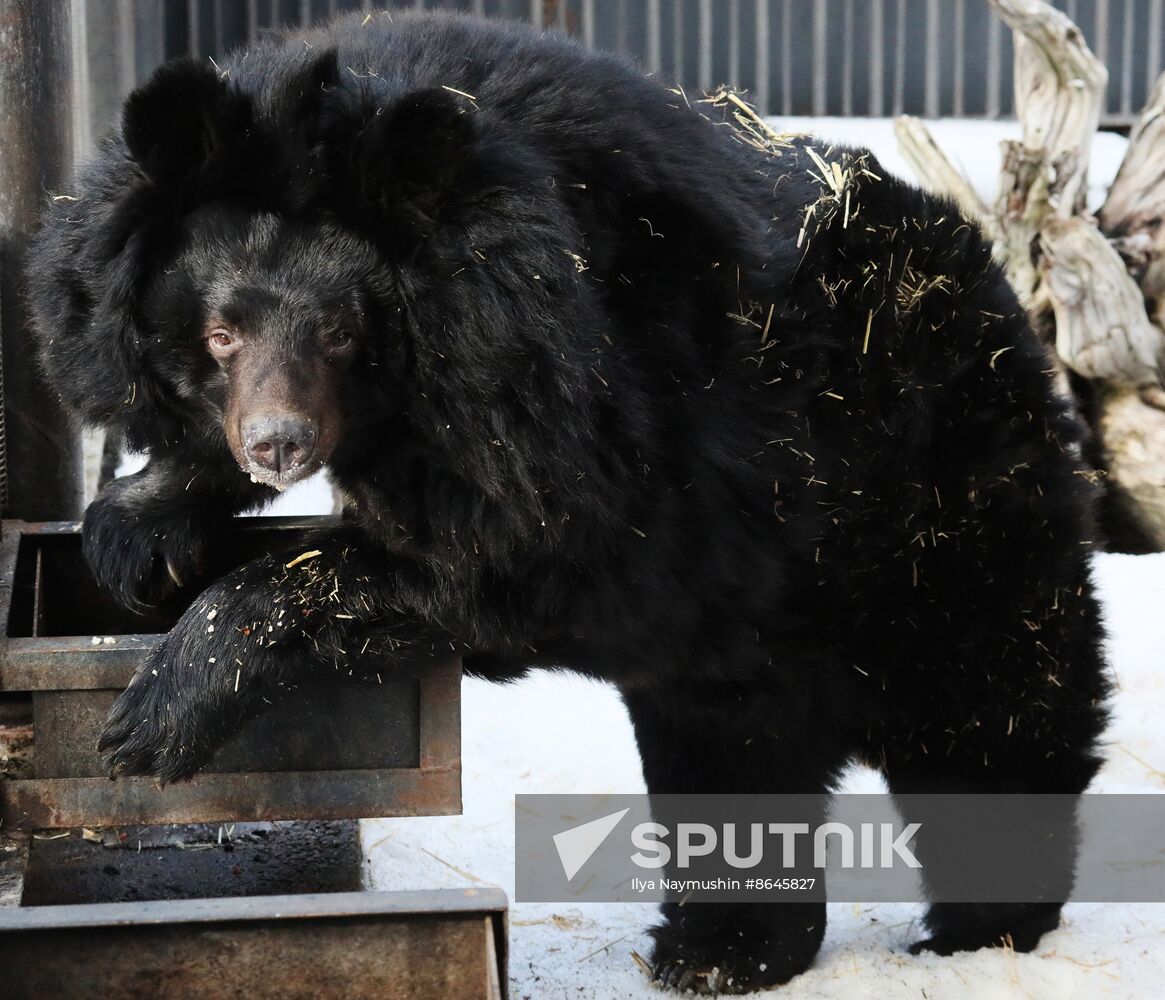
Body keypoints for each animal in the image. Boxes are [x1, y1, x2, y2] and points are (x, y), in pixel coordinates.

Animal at [27, 9, 1109, 988]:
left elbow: (493, 559)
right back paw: (718, 953)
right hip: (757, 625)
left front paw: (152, 716)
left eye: (342, 333)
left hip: (931, 504)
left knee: (991, 710)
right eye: (220, 333)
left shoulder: (581, 412)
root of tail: (990, 279)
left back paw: (979, 928)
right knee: (738, 754)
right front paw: (134, 533)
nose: (279, 442)